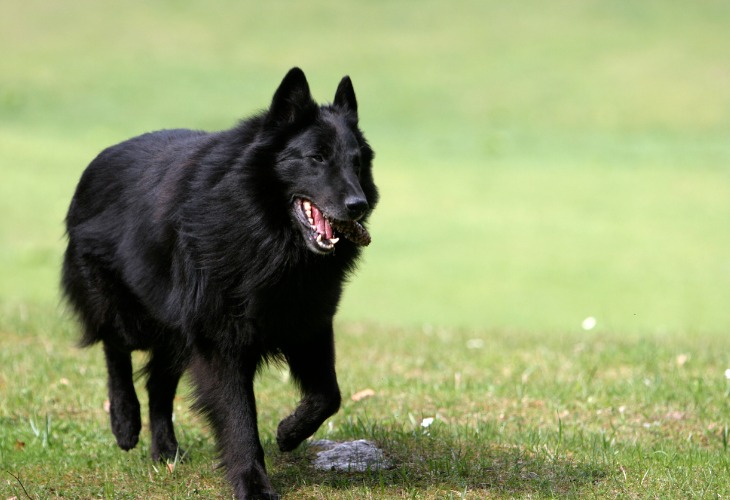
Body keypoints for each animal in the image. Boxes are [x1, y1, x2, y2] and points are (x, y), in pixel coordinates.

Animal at [61, 68, 378, 498]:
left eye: (356, 162)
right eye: (317, 158)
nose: (357, 206)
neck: (263, 230)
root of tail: (97, 160)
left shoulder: (308, 325)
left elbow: (328, 395)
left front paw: (289, 432)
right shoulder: (219, 341)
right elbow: (239, 417)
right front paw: (252, 483)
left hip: (176, 335)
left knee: (158, 385)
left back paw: (166, 451)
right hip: (131, 315)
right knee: (115, 349)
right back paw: (125, 423)